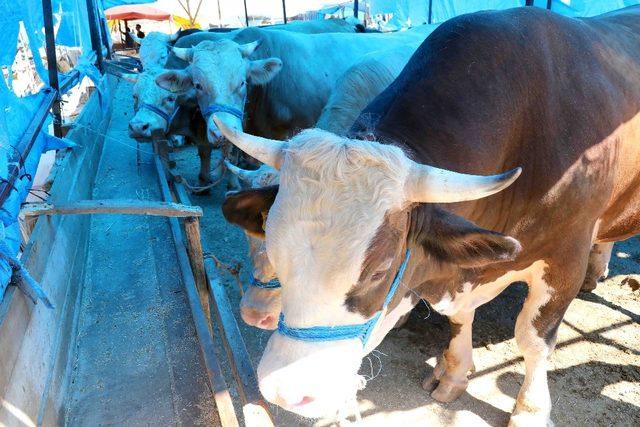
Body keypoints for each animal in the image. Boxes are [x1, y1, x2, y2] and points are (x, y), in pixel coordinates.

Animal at [214, 5, 640, 424]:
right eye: (275, 248)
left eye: (379, 270)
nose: (285, 392)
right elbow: (459, 319)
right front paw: (452, 374)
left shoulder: (565, 258)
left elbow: (533, 340)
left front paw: (530, 411)